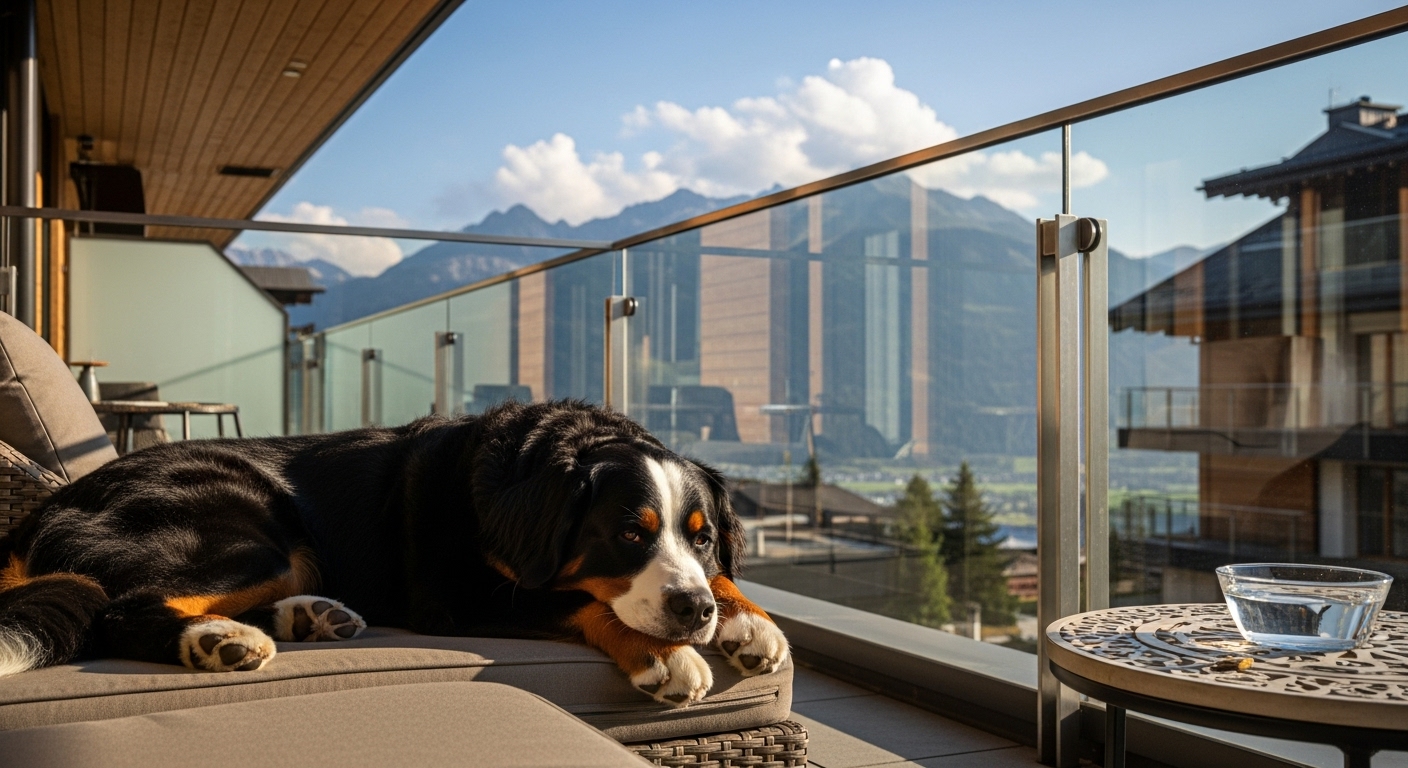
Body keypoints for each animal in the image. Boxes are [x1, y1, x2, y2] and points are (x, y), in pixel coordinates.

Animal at [0, 400, 788, 706]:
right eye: (628, 534)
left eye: (702, 535)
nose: (691, 613)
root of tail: (46, 508)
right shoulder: (458, 596)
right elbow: (575, 601)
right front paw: (664, 654)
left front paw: (750, 621)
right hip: (253, 530)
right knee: (122, 608)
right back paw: (218, 639)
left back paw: (311, 617)